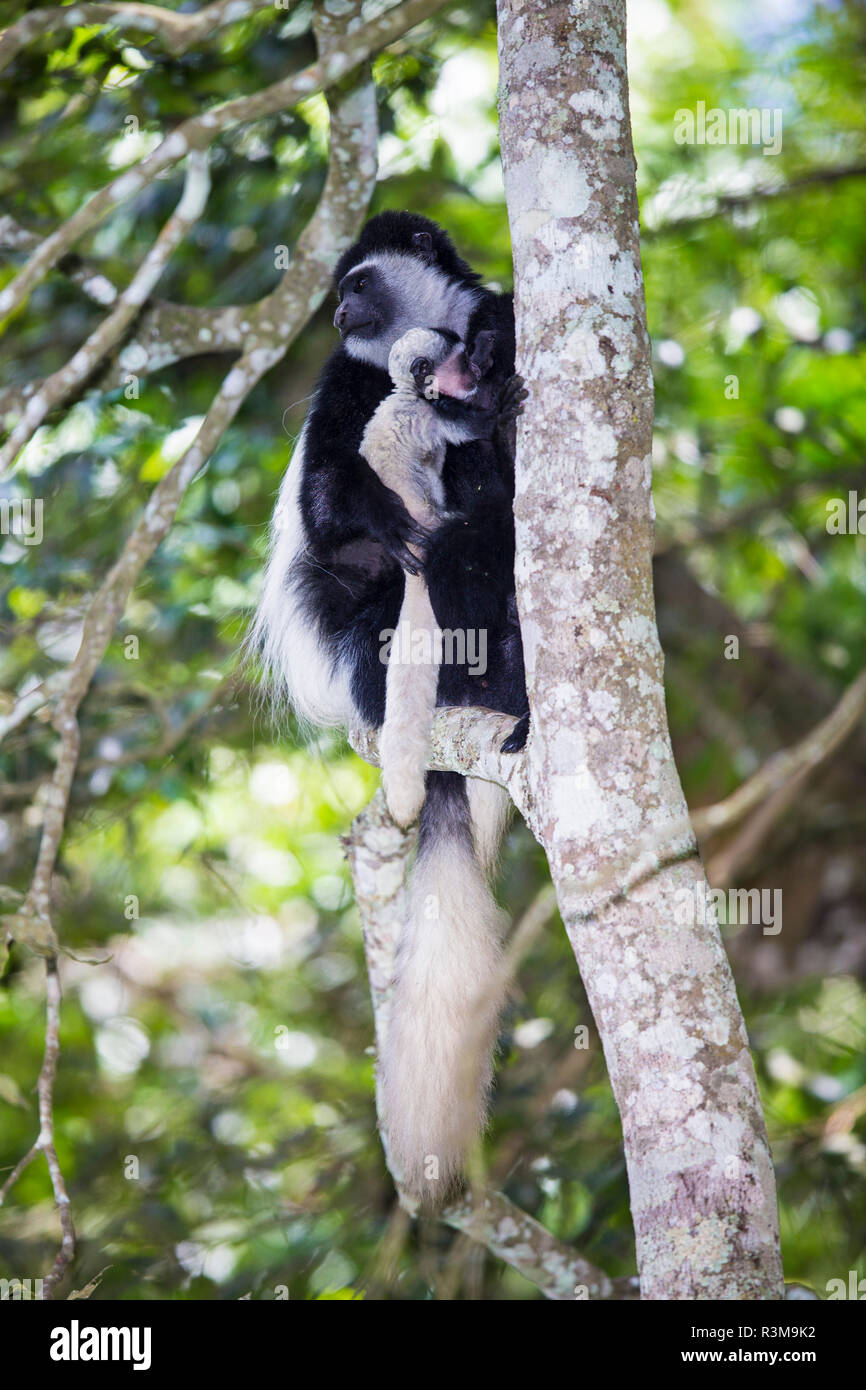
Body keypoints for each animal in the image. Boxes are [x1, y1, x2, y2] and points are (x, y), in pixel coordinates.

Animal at [250, 214, 528, 1195]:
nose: (337, 309)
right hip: (376, 646)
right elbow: (333, 509)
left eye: (359, 281)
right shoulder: (347, 385)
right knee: (430, 549)